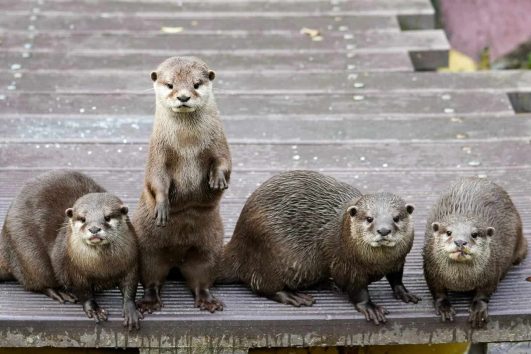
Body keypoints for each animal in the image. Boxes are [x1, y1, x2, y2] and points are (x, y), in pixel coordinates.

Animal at [133, 55, 231, 312]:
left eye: (196, 84)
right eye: (170, 85)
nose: (184, 97)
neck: (187, 144)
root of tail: (176, 260)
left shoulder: (219, 142)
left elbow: (224, 162)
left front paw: (217, 179)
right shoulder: (158, 152)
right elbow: (156, 178)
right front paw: (162, 206)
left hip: (210, 246)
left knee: (201, 277)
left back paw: (208, 301)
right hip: (148, 248)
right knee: (152, 277)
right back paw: (149, 302)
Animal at [220, 170, 420, 324]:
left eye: (396, 218)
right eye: (369, 218)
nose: (384, 230)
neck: (379, 263)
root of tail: (237, 241)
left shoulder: (399, 260)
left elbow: (396, 278)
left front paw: (405, 293)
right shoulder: (346, 265)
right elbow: (357, 290)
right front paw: (370, 307)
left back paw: (328, 284)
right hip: (267, 255)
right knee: (262, 286)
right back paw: (294, 296)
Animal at [424, 177, 528, 330]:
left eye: (474, 234)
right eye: (449, 232)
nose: (460, 241)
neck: (461, 281)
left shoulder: (492, 271)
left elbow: (484, 292)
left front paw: (478, 310)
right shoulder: (431, 270)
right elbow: (437, 291)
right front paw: (444, 307)